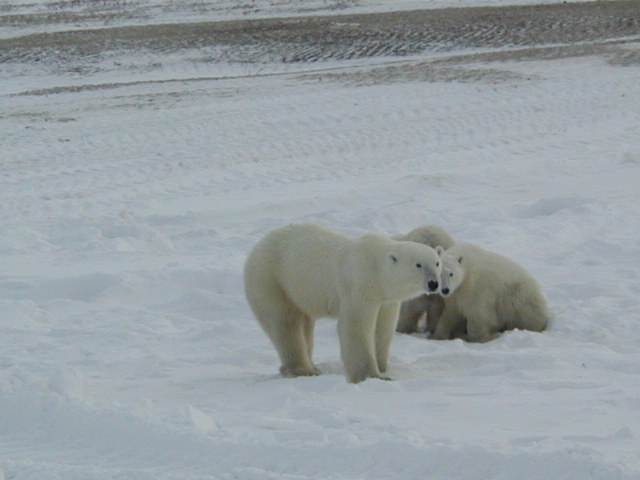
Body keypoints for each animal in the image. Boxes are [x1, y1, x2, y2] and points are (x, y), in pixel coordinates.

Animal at [242, 223, 442, 384]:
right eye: (418, 264)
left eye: (437, 263)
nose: (433, 283)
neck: (376, 267)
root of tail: (255, 249)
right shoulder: (360, 284)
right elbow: (355, 326)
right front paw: (372, 376)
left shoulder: (386, 298)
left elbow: (384, 327)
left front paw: (382, 365)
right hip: (273, 279)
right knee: (286, 323)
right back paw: (303, 369)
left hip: (299, 291)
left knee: (304, 322)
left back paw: (313, 366)